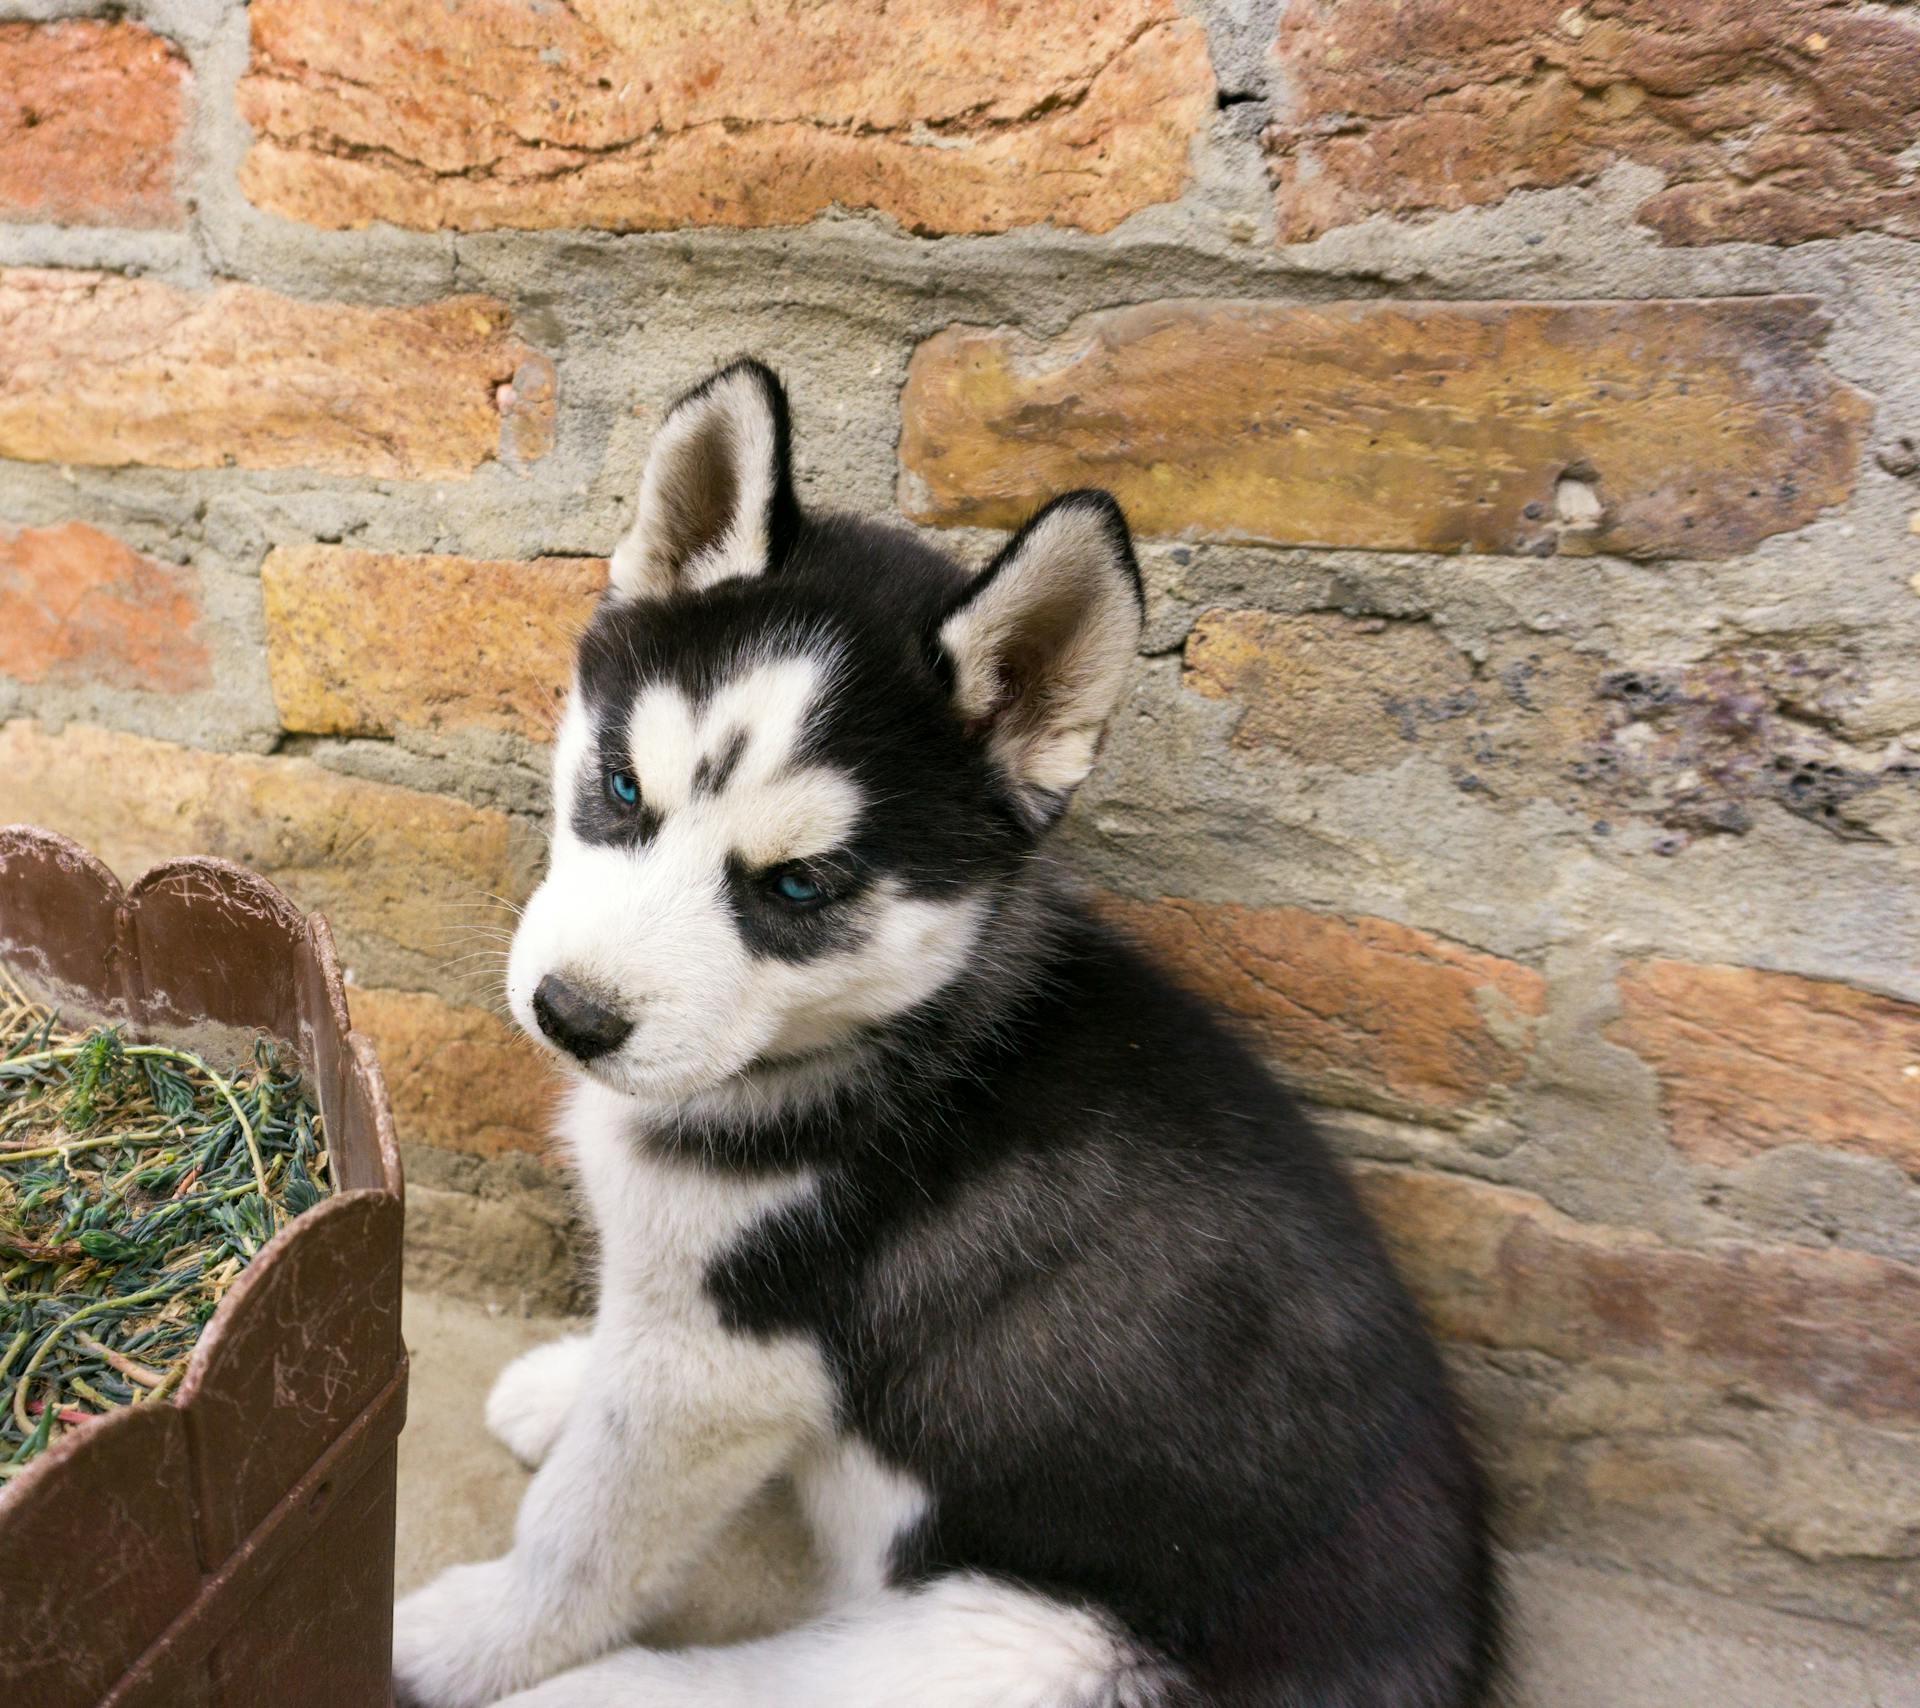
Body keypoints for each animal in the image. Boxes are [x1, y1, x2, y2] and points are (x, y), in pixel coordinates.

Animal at [389, 362, 1497, 1704]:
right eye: (618, 788)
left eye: (799, 886)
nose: (574, 1015)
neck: (884, 1032)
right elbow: (614, 1367)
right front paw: (564, 1386)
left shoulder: (727, 1364)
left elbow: (586, 1530)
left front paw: (465, 1636)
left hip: (1021, 1644)